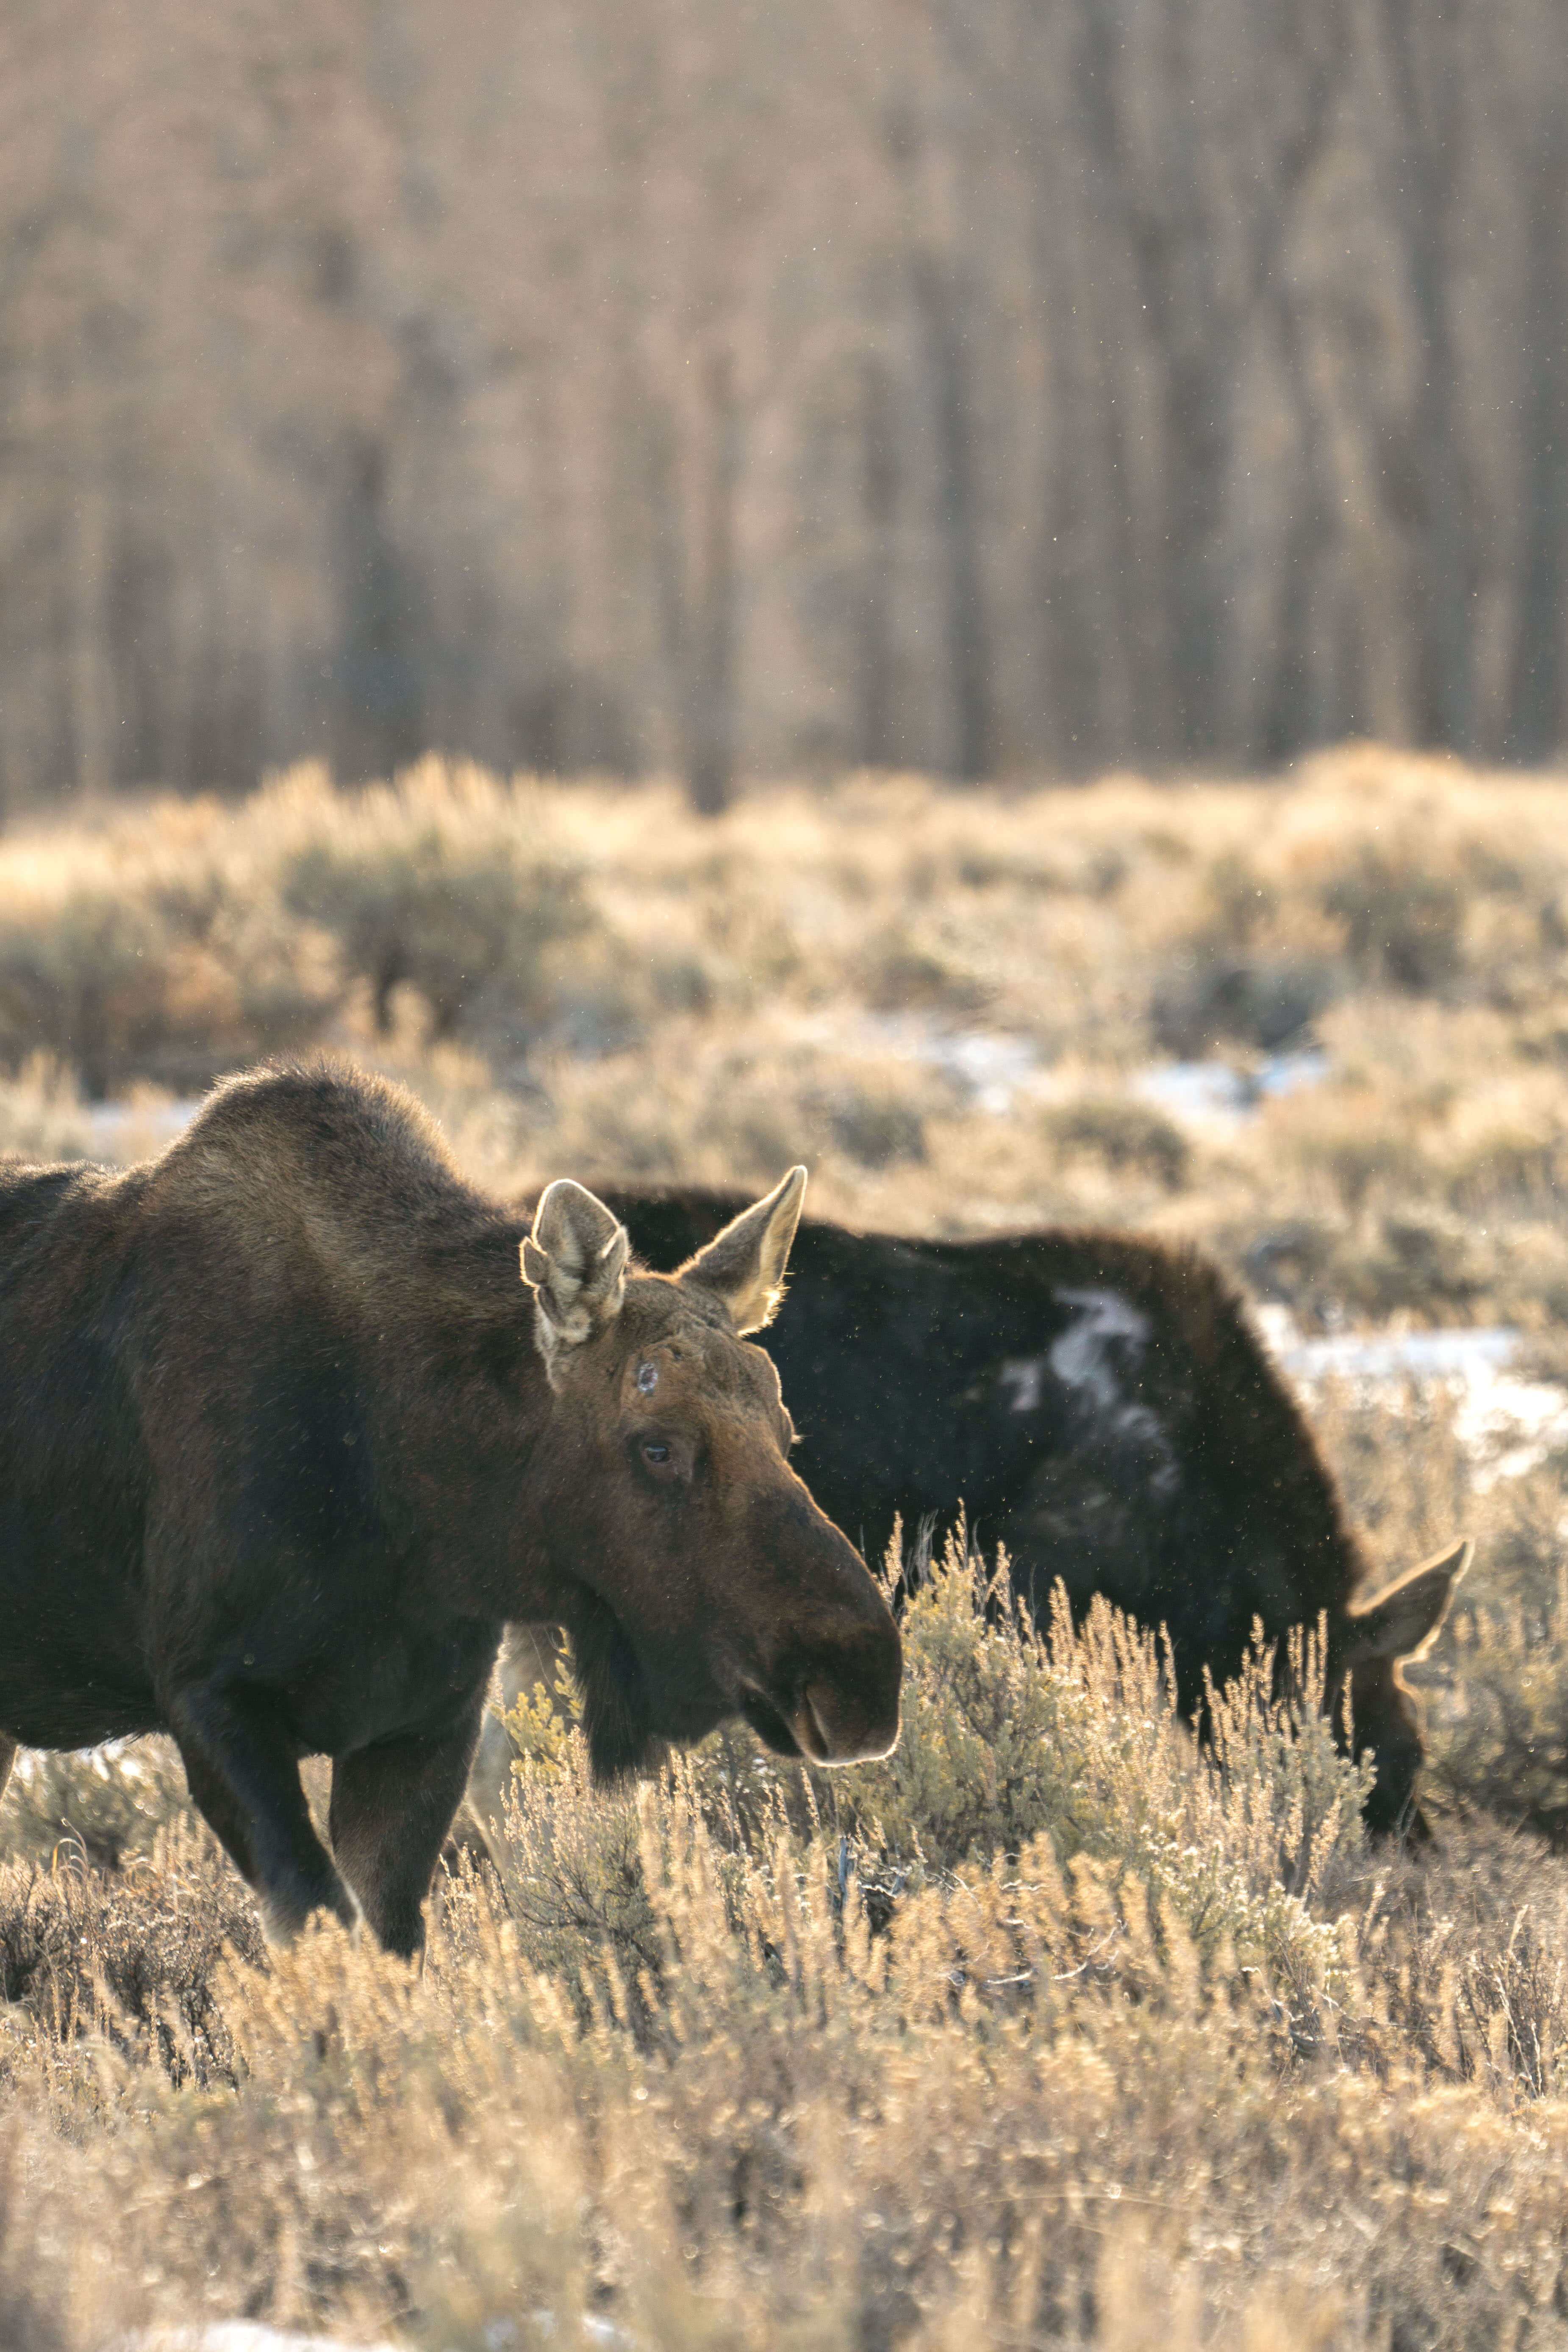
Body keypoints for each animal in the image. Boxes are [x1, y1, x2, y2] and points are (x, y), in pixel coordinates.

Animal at [0, 1068, 893, 1947]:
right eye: (657, 1446)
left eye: (785, 1427)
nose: (861, 1681)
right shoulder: (210, 1697)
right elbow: (320, 1934)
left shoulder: (429, 1723)